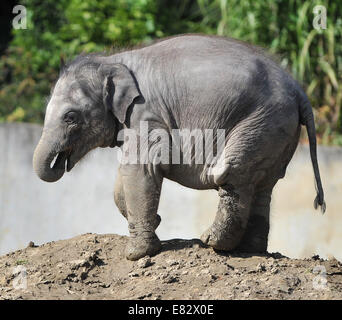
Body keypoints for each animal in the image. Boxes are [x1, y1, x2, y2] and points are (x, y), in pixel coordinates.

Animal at [33, 35, 324, 260]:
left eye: (70, 117)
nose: (60, 161)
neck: (113, 61)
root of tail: (299, 90)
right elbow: (122, 181)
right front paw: (154, 224)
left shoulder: (146, 114)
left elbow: (139, 169)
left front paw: (136, 254)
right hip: (278, 132)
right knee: (263, 185)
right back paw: (249, 250)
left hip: (262, 121)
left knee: (232, 174)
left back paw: (212, 242)